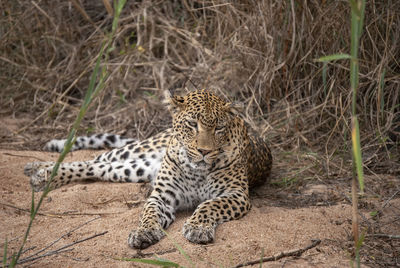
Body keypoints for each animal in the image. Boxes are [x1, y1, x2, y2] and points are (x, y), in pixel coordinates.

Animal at [22, 90, 272, 249]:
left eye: (219, 128)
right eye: (192, 124)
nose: (204, 151)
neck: (196, 170)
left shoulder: (236, 195)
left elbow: (209, 205)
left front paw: (198, 227)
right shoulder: (162, 196)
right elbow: (149, 213)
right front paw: (144, 232)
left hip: (132, 169)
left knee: (98, 167)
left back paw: (41, 174)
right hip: (134, 152)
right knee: (95, 159)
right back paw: (39, 170)